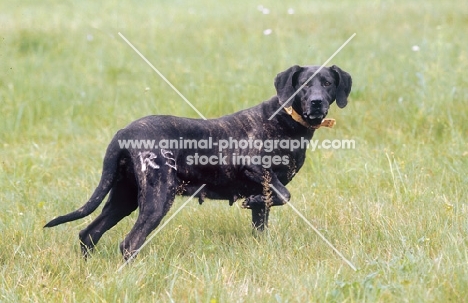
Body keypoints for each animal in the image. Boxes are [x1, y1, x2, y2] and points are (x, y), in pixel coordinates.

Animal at [44, 65, 352, 260]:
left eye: (327, 83)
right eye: (304, 85)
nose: (316, 102)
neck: (286, 119)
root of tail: (124, 133)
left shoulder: (265, 195)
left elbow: (263, 217)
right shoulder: (254, 166)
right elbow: (285, 194)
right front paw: (251, 200)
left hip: (124, 198)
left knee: (89, 233)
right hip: (158, 198)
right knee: (129, 243)